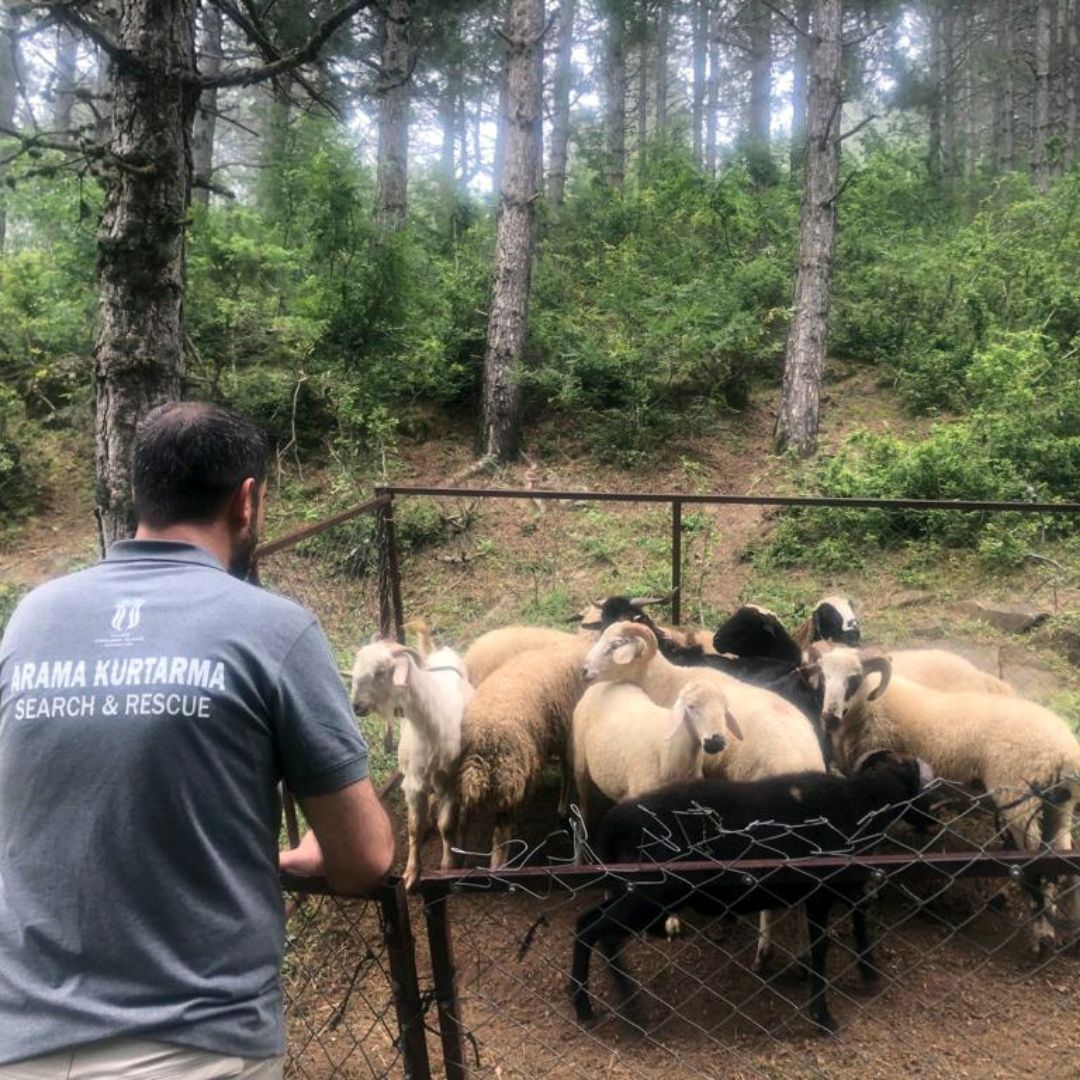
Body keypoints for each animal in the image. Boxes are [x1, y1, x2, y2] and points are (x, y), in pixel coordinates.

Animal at [347, 639, 470, 885]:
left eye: (381, 671)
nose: (356, 706)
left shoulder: (450, 780)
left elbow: (446, 825)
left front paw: (448, 864)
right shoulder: (413, 782)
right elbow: (413, 827)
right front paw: (411, 873)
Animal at [449, 630, 600, 868]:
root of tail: (485, 740)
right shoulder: (569, 735)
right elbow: (567, 772)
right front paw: (563, 808)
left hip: (466, 780)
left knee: (462, 820)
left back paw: (457, 859)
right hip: (512, 782)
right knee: (500, 844)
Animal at [570, 678, 738, 864]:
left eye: (725, 709)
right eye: (691, 706)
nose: (716, 742)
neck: (668, 751)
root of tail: (604, 683)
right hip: (581, 768)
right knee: (582, 814)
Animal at [570, 747, 933, 1032]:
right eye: (916, 779)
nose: (932, 821)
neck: (858, 804)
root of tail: (617, 818)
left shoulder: (843, 887)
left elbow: (859, 924)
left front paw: (869, 975)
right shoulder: (819, 893)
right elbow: (821, 949)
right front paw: (823, 1017)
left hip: (633, 891)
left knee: (586, 923)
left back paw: (583, 1006)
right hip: (650, 894)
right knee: (601, 933)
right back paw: (629, 1010)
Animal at [812, 643, 1080, 950]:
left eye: (854, 678)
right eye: (822, 675)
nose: (830, 717)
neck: (869, 707)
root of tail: (1064, 752)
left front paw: (870, 885)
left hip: (1019, 797)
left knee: (1037, 862)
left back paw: (1040, 932)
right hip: (1059, 804)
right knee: (1064, 853)